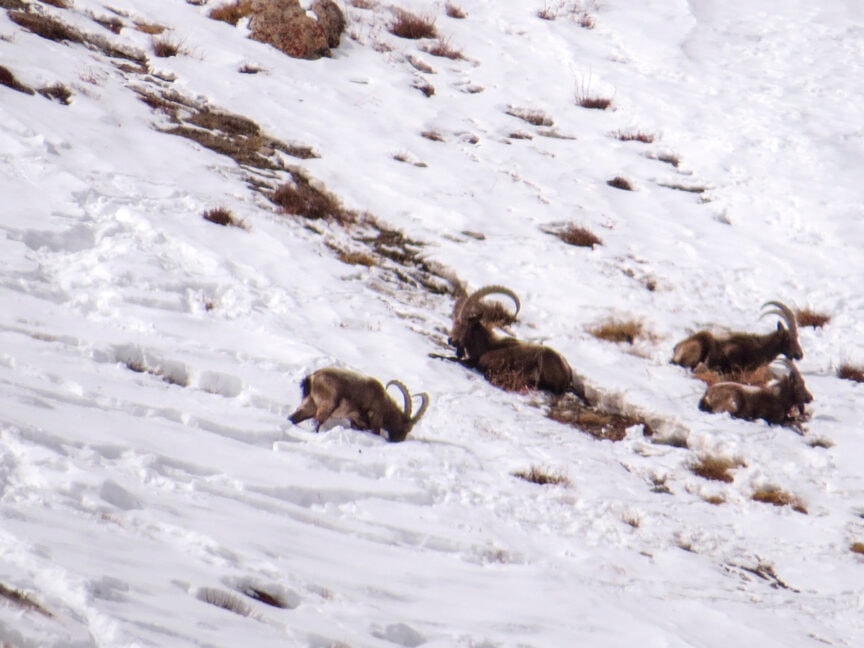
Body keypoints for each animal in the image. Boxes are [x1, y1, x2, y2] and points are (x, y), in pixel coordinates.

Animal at [288, 367, 429, 442]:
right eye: (407, 428)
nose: (397, 440)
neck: (383, 402)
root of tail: (312, 377)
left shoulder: (356, 422)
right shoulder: (375, 422)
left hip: (309, 405)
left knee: (293, 418)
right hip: (326, 407)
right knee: (316, 423)